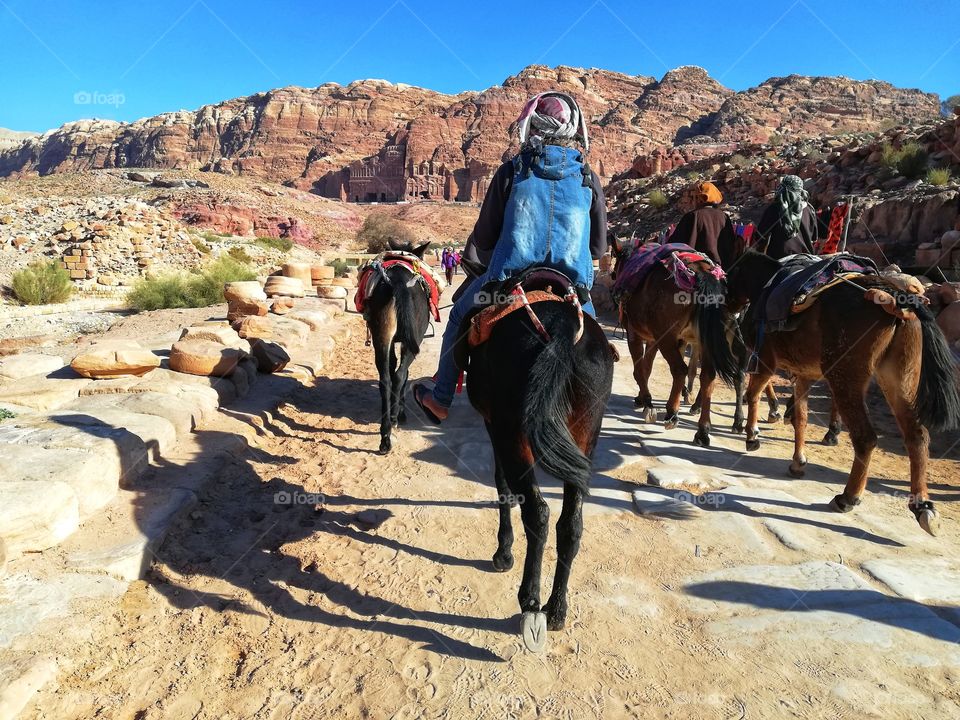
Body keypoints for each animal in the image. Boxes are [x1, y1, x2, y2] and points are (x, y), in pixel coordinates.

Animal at [364, 242, 432, 456]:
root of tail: (398, 280)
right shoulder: (408, 342)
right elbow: (404, 373)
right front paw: (401, 413)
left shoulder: (393, 341)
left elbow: (392, 365)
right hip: (412, 340)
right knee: (399, 375)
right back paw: (394, 418)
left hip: (381, 335)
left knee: (385, 378)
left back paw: (385, 435)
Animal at [464, 286, 616, 652]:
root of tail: (562, 326)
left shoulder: (493, 425)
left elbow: (502, 485)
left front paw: (503, 552)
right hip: (586, 432)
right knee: (571, 524)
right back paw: (557, 609)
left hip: (513, 432)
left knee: (538, 513)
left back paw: (530, 602)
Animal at [728, 249, 960, 536]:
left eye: (731, 273)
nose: (728, 305)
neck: (765, 285)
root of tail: (896, 298)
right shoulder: (804, 375)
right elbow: (800, 418)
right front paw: (798, 461)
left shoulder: (765, 361)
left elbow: (754, 394)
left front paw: (752, 435)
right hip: (898, 381)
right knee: (917, 437)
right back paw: (922, 506)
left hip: (845, 378)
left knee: (865, 438)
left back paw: (848, 497)